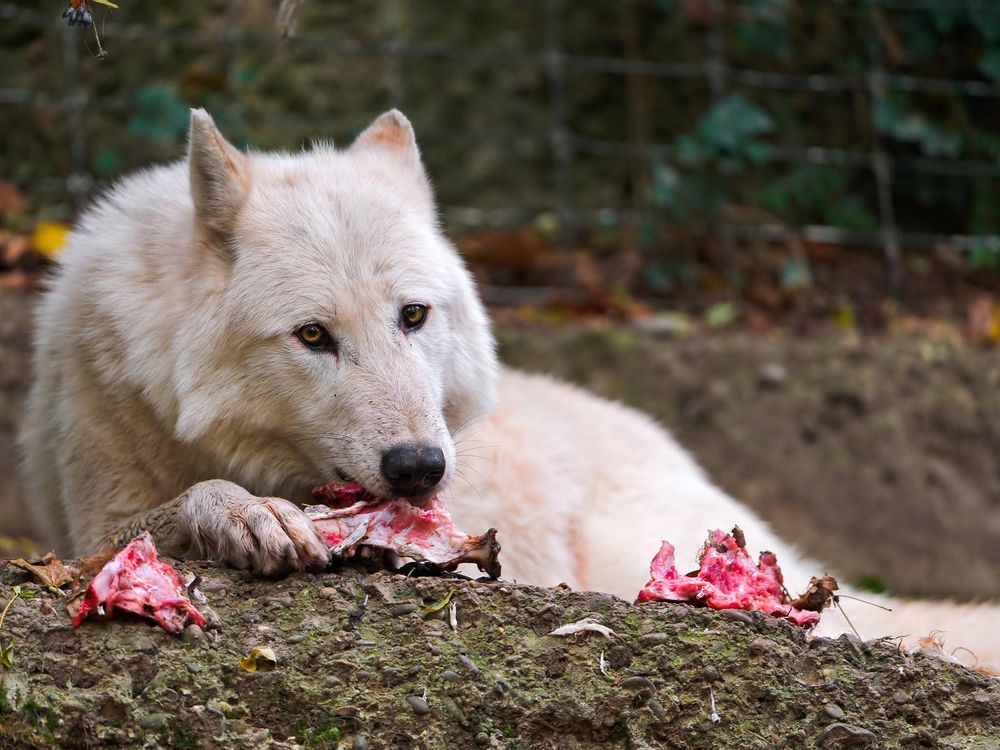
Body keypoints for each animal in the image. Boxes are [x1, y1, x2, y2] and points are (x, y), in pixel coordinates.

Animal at [17, 110, 1000, 664]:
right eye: (313, 337)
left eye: (414, 316)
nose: (419, 467)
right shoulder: (87, 523)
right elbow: (174, 509)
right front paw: (247, 513)